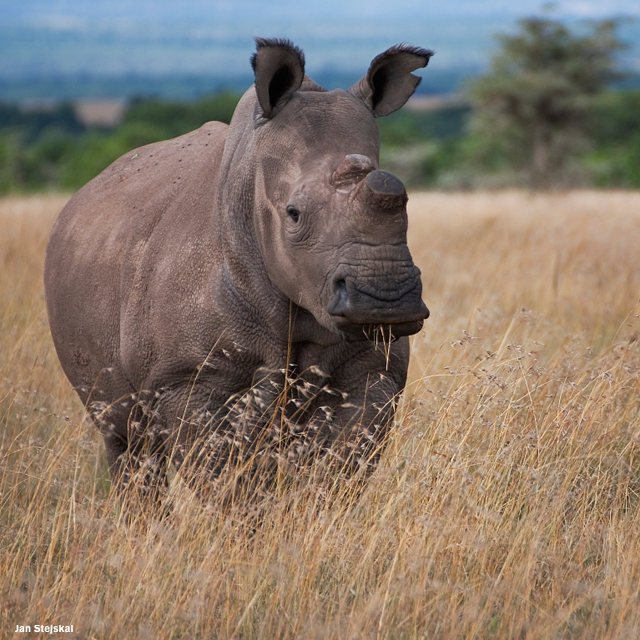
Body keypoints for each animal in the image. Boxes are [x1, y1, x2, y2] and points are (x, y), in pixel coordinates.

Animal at [44, 38, 432, 503]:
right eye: (293, 214)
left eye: (407, 206)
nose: (386, 298)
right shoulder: (187, 378)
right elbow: (225, 479)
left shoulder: (374, 370)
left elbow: (338, 470)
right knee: (126, 438)